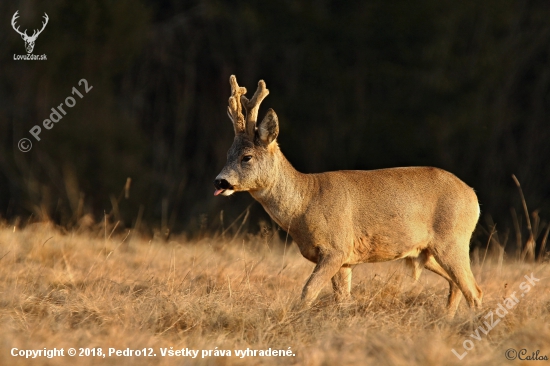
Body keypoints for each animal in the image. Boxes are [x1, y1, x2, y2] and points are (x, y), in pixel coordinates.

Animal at [215, 75, 484, 314]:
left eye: (247, 157)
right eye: (228, 154)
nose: (220, 180)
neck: (305, 202)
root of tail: (473, 195)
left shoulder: (336, 247)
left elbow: (308, 291)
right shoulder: (345, 261)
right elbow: (342, 300)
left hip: (453, 240)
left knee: (474, 290)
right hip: (426, 252)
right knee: (456, 285)